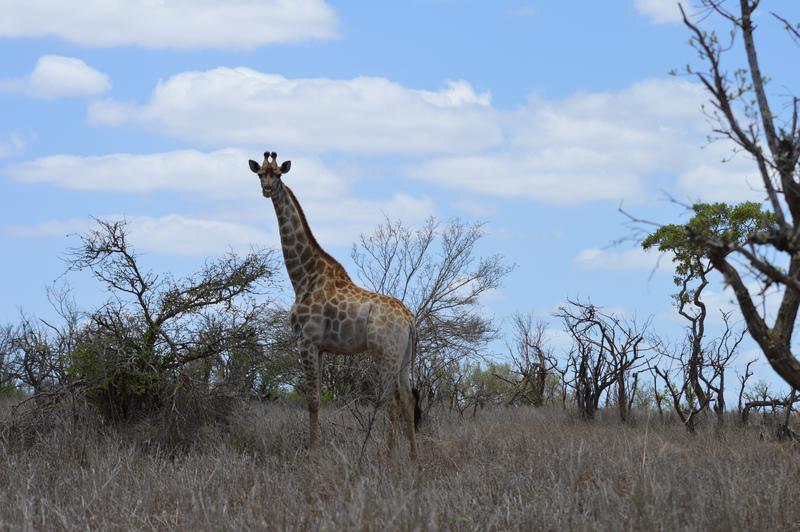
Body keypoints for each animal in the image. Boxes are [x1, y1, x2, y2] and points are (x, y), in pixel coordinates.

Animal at [250, 152, 418, 460]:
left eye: (278, 174)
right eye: (260, 174)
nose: (267, 190)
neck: (303, 276)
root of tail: (410, 320)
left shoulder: (306, 341)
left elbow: (313, 400)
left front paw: (312, 451)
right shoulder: (321, 348)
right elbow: (316, 399)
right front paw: (316, 447)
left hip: (385, 352)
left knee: (393, 398)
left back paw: (389, 458)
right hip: (404, 356)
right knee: (409, 397)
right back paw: (414, 459)